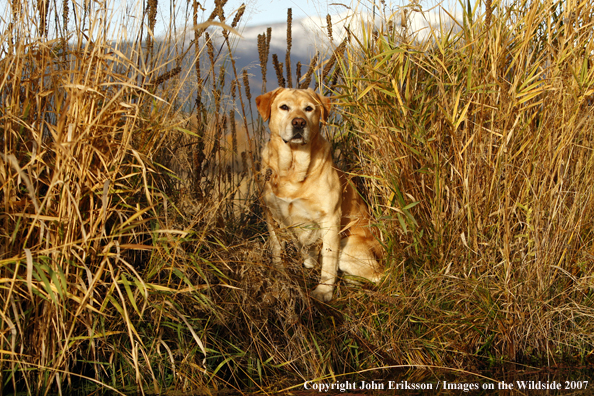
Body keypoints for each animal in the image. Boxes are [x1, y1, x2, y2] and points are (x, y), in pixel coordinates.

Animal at [253, 88, 382, 302]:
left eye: (309, 109)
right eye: (284, 107)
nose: (299, 122)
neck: (293, 168)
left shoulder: (330, 219)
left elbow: (329, 260)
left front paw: (323, 291)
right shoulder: (271, 214)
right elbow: (277, 249)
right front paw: (280, 279)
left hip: (348, 245)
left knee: (378, 276)